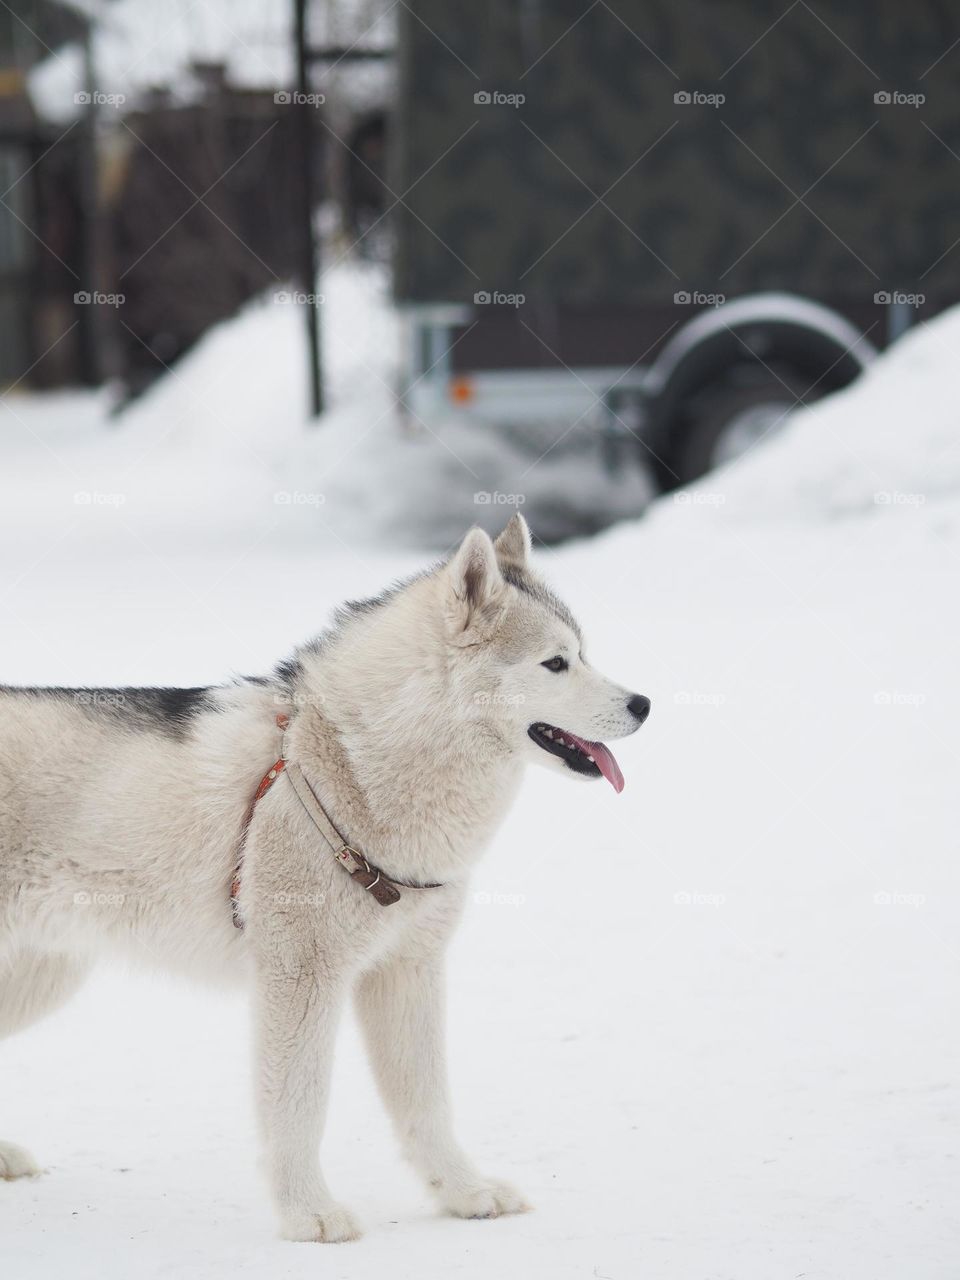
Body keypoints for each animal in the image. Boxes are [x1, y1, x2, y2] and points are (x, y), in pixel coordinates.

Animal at [0, 517, 650, 1239]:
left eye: (584, 653)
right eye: (555, 663)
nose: (644, 704)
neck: (350, 768)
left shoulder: (407, 971)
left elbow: (429, 1104)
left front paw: (464, 1193)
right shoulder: (301, 976)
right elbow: (299, 1106)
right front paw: (308, 1214)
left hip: (43, 979)